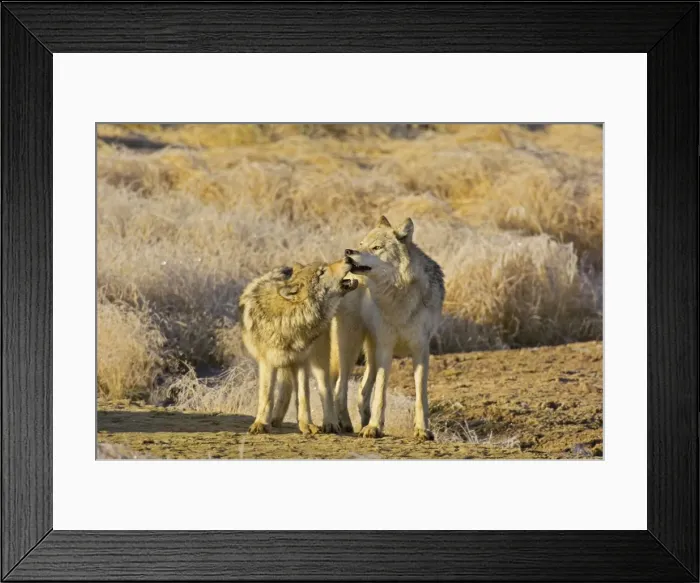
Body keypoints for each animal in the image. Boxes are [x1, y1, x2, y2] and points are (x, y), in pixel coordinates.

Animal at [239, 259, 358, 435]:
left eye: (324, 267)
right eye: (321, 272)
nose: (348, 259)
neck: (289, 318)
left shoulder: (301, 361)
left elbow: (303, 395)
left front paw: (307, 425)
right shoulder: (268, 362)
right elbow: (267, 395)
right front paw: (261, 424)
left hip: (318, 358)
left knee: (326, 388)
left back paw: (330, 423)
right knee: (285, 388)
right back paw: (276, 419)